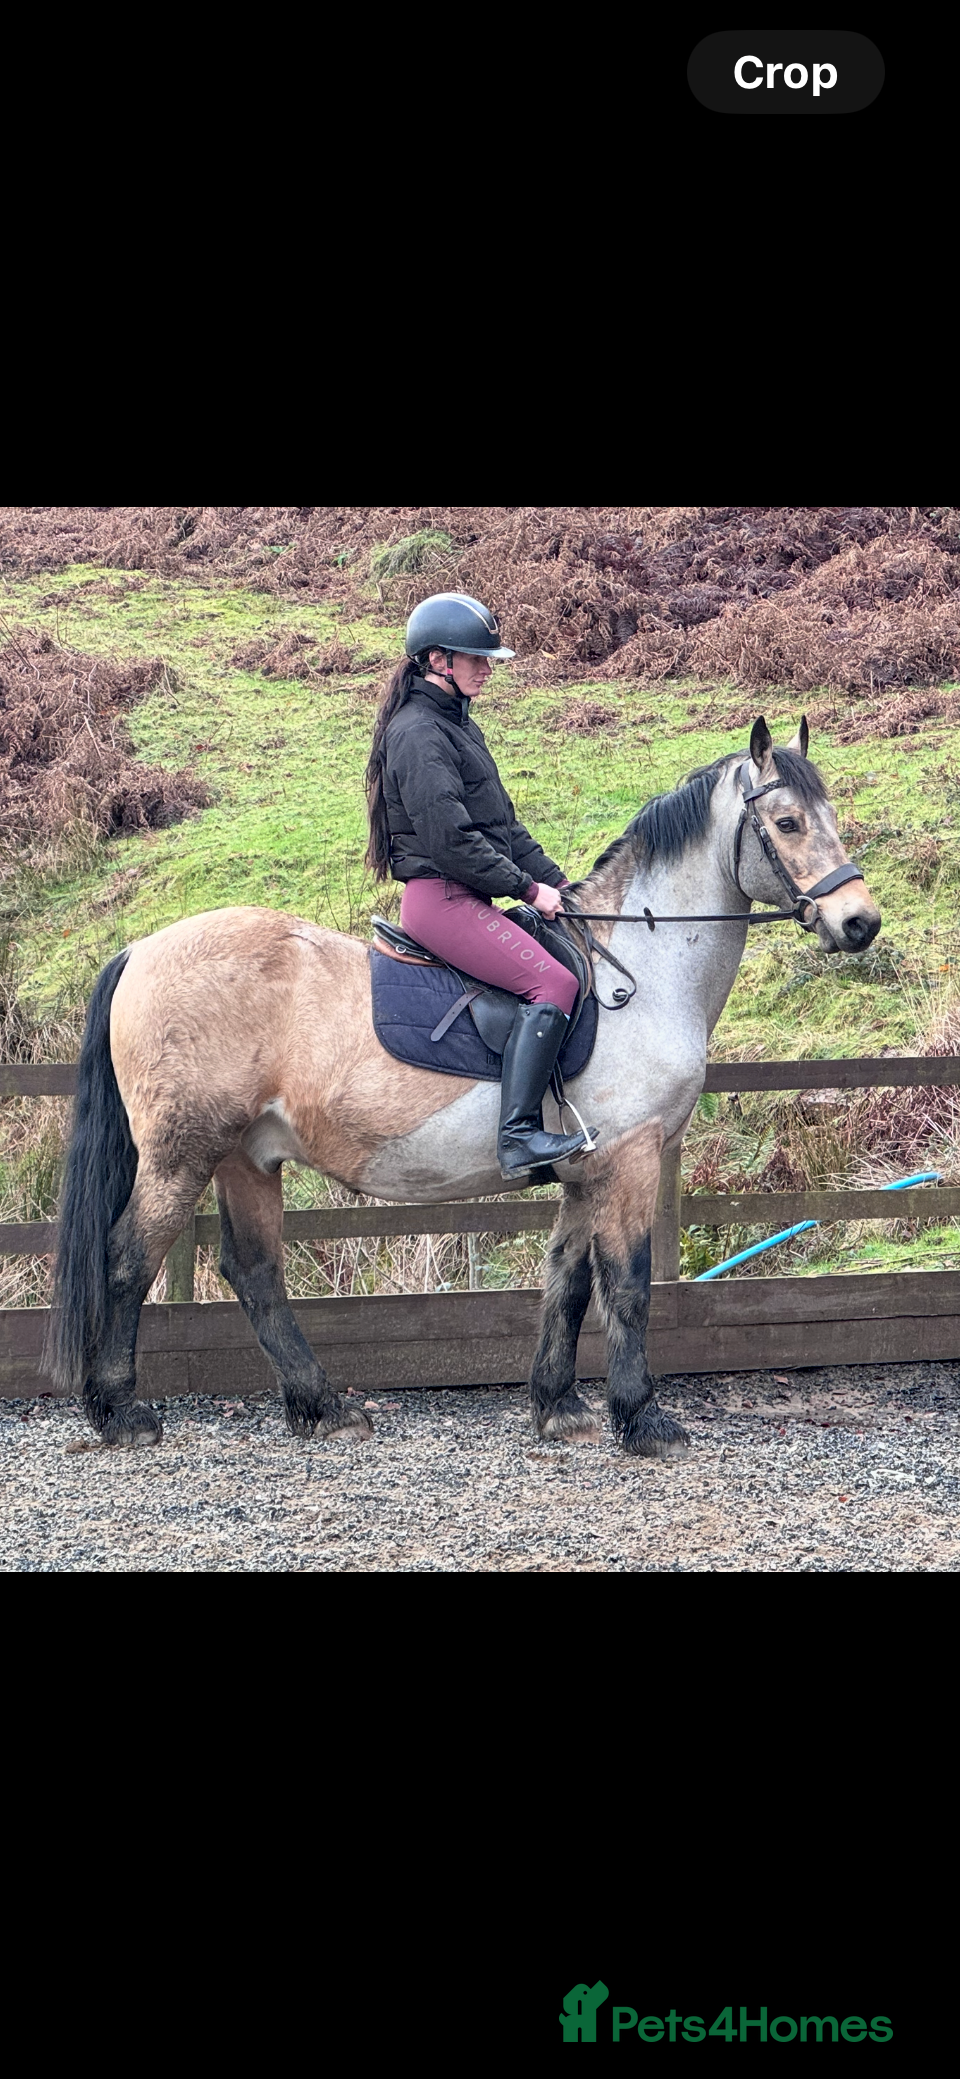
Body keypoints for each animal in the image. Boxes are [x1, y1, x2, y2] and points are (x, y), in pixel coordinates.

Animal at [46, 716, 881, 1458]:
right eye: (788, 821)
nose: (860, 922)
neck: (638, 971)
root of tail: (141, 949)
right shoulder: (632, 1158)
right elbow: (627, 1284)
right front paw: (643, 1419)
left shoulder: (587, 1170)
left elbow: (568, 1281)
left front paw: (557, 1406)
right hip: (181, 1155)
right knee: (128, 1259)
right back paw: (122, 1413)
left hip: (248, 1157)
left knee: (255, 1272)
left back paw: (322, 1407)